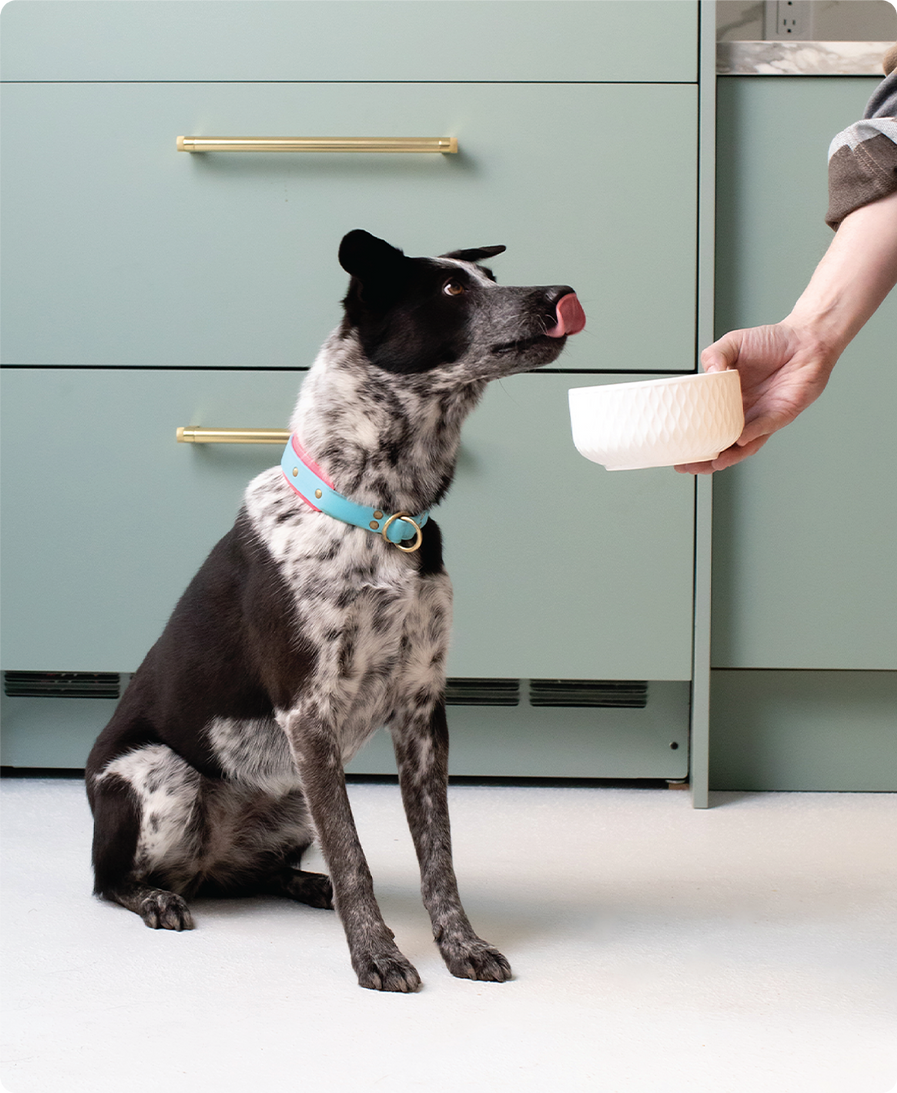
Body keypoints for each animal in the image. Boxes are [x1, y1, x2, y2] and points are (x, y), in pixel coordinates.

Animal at [85, 230, 589, 992]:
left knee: (256, 873)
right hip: (160, 777)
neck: (380, 512)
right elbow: (353, 853)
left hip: (291, 794)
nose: (561, 294)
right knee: (111, 878)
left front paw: (461, 944)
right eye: (451, 290)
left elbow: (437, 854)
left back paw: (301, 884)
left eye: (490, 277)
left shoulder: (421, 709)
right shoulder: (309, 714)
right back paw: (156, 897)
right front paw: (377, 954)